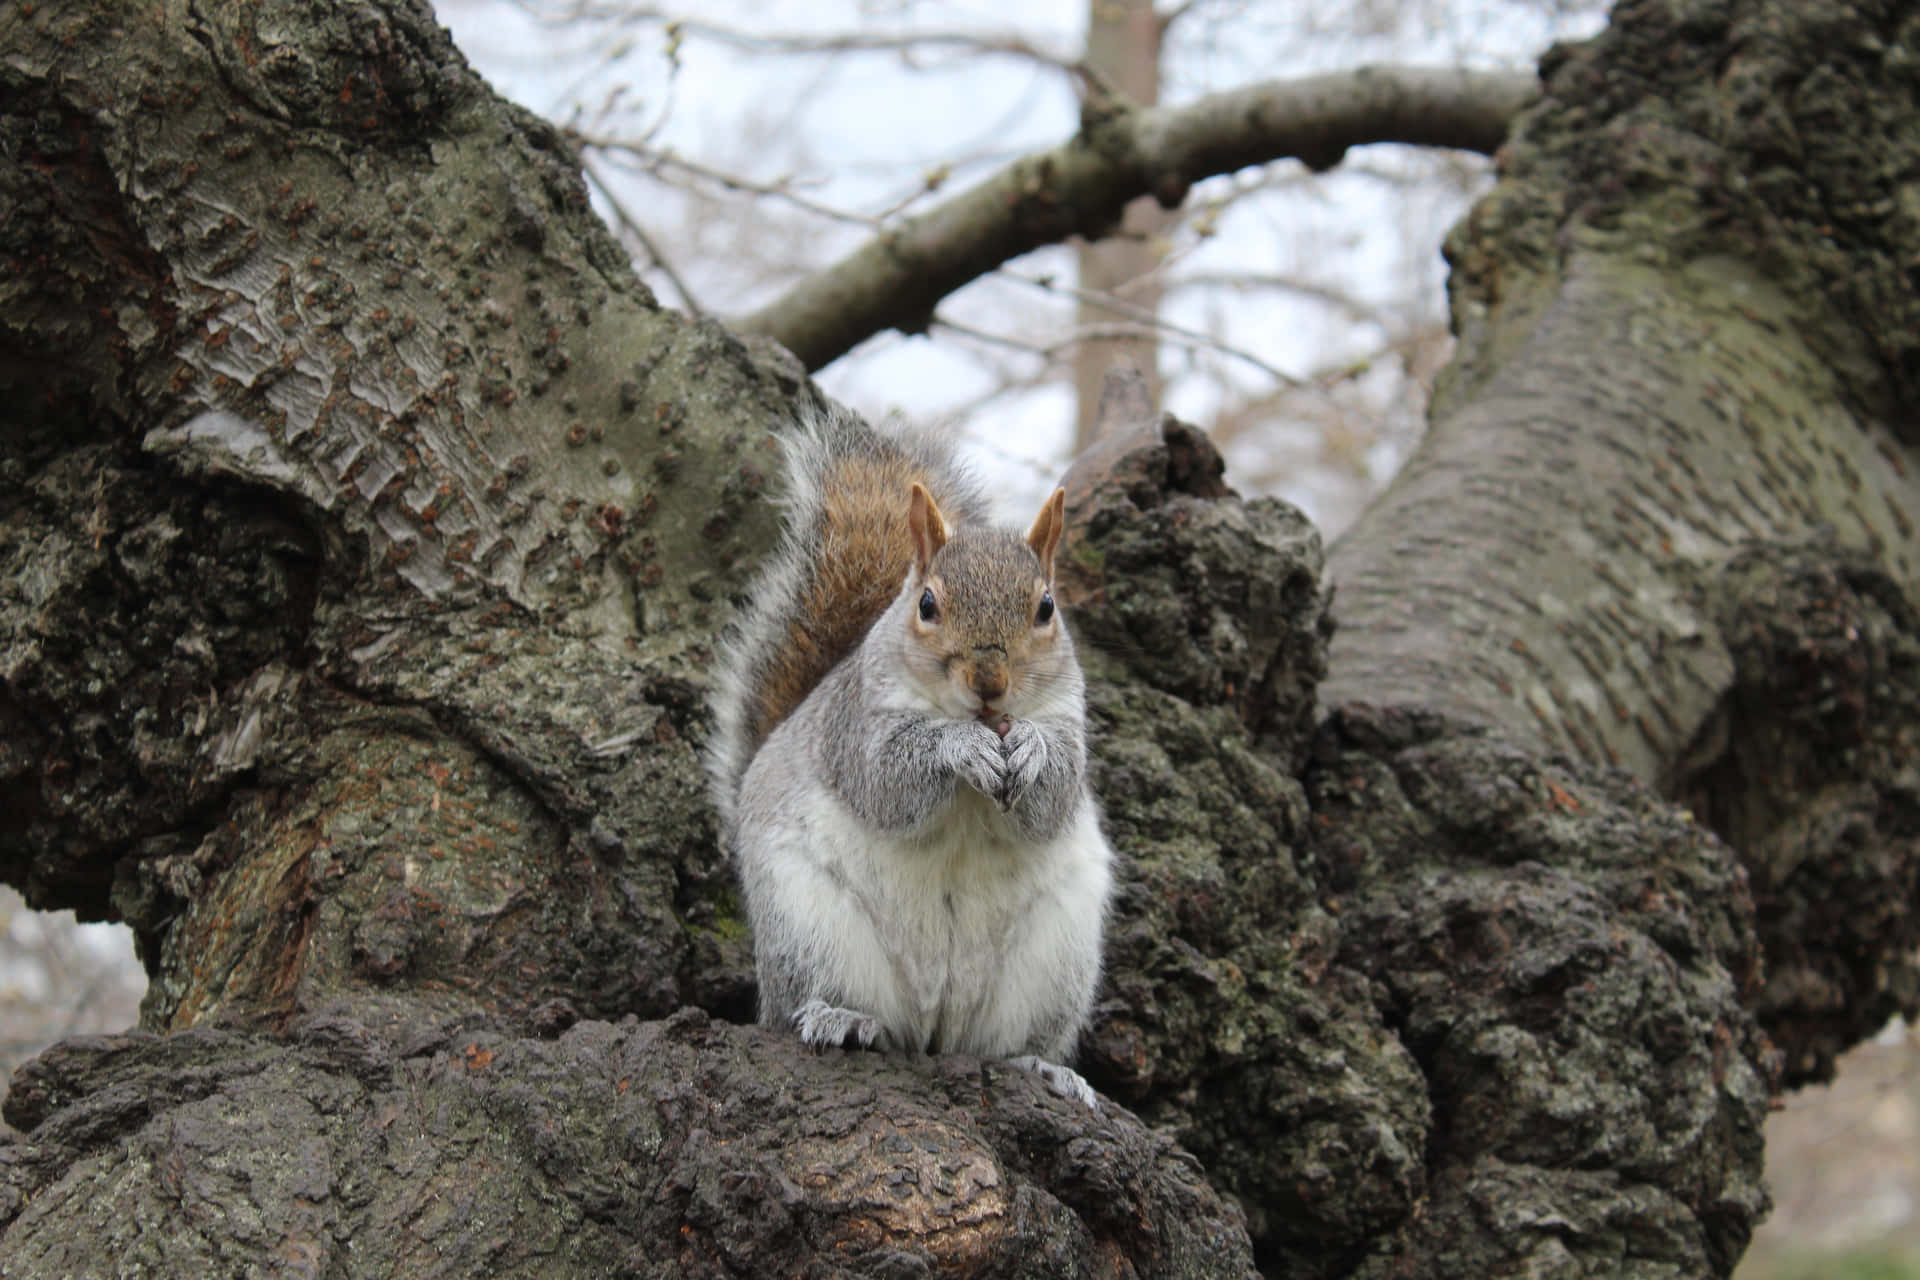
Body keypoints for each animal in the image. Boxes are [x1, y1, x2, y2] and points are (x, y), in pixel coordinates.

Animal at [714, 404, 1121, 1105]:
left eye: (1046, 607)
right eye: (927, 604)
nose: (989, 680)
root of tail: (935, 1025)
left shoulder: (1070, 719)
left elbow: (1054, 797)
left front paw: (1031, 751)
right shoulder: (857, 727)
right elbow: (889, 784)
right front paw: (961, 748)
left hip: (1054, 962)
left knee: (1005, 1043)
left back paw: (1043, 1067)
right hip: (807, 928)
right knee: (799, 1005)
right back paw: (838, 1017)